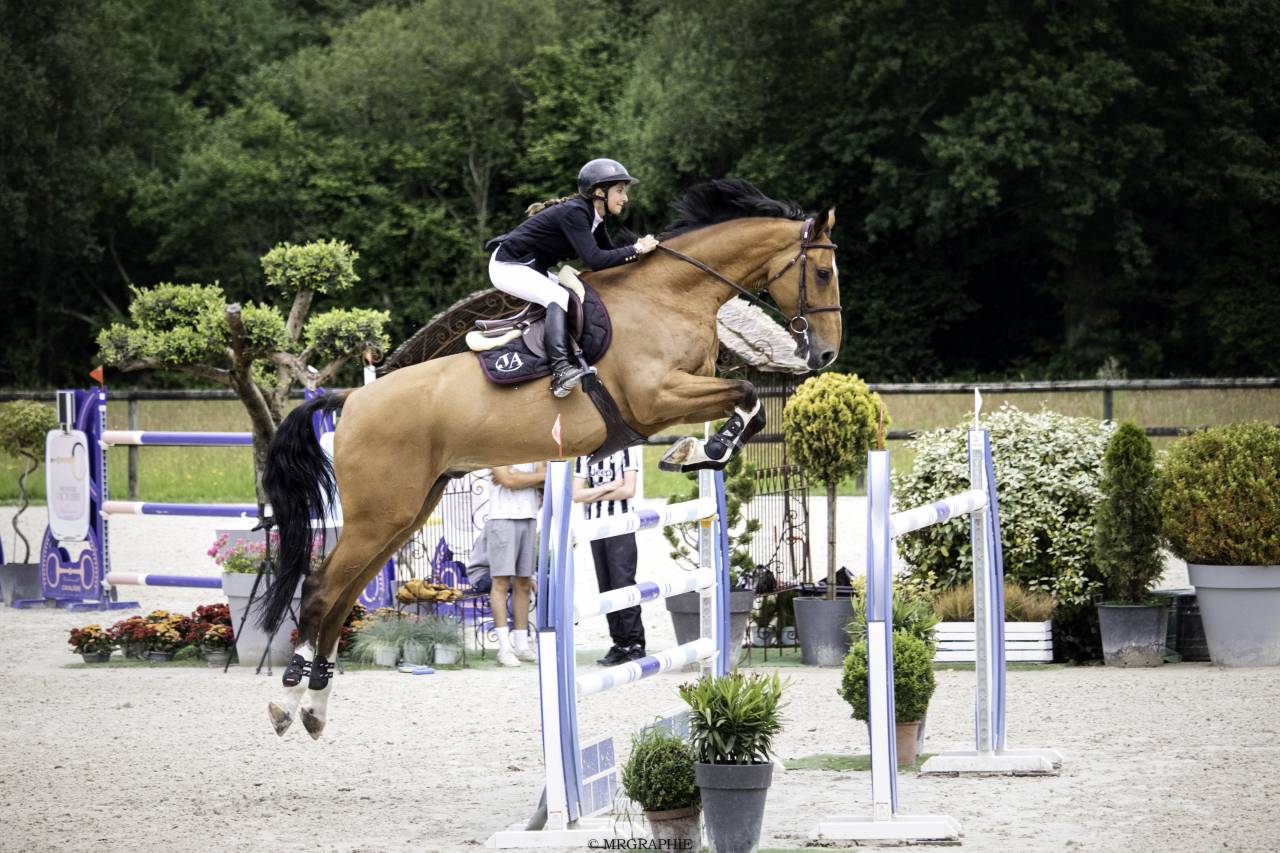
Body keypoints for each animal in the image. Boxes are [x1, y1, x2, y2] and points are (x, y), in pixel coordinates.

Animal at [259, 179, 842, 739]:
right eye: (822, 271)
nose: (826, 354)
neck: (670, 295)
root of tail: (351, 399)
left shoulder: (680, 394)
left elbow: (749, 404)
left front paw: (697, 451)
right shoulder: (657, 398)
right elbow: (747, 392)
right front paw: (706, 449)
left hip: (404, 513)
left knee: (342, 597)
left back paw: (314, 707)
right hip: (380, 514)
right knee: (320, 590)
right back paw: (287, 702)